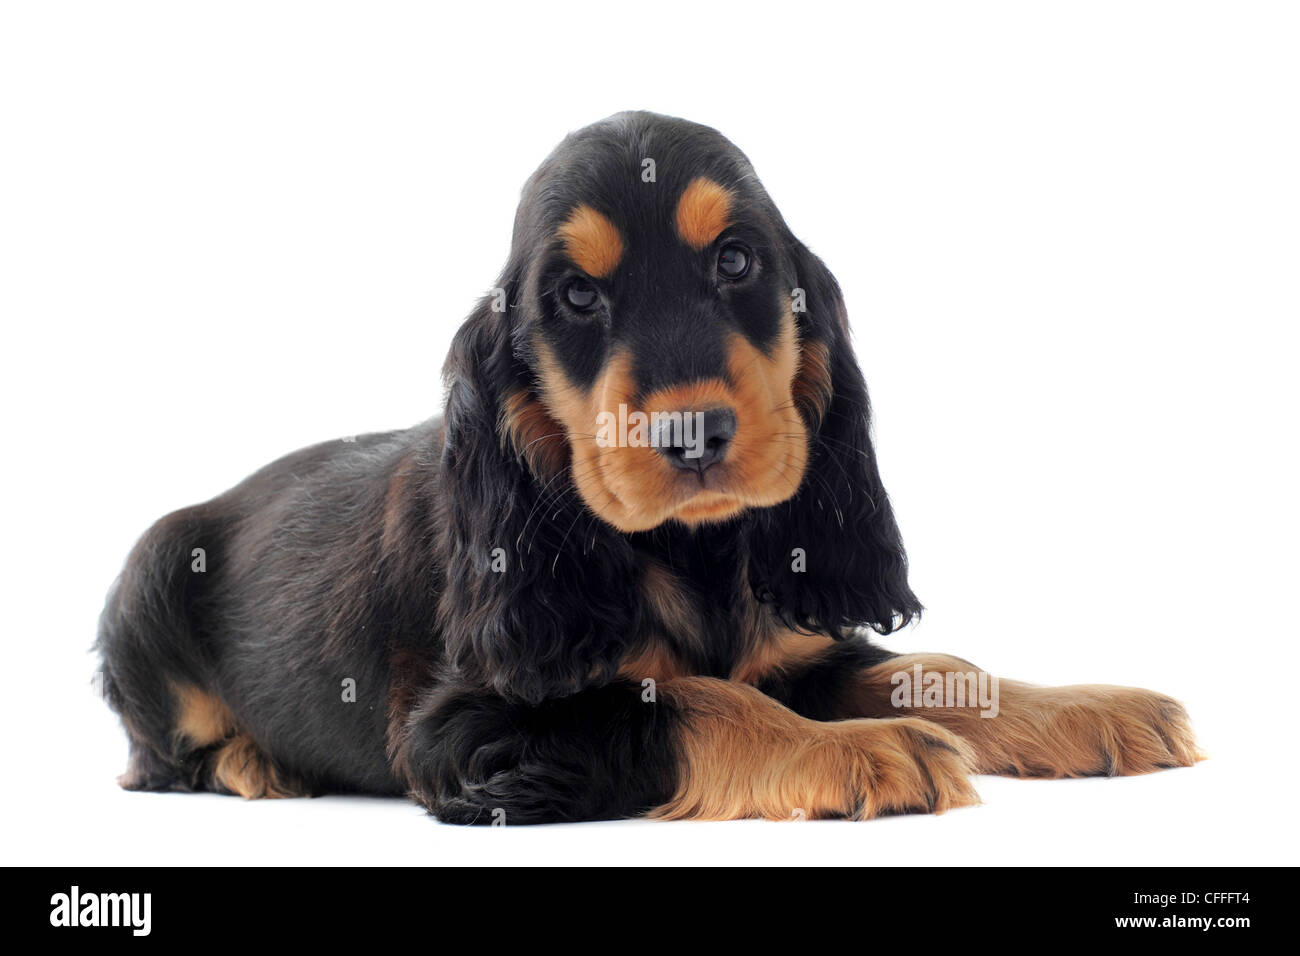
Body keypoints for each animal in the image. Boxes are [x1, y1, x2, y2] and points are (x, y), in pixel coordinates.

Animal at [96, 110, 1201, 822]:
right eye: (577, 297)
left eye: (737, 262)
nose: (691, 433)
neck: (686, 551)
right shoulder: (461, 728)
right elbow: (683, 698)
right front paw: (851, 747)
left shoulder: (792, 643)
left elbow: (928, 668)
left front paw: (1090, 708)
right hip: (150, 570)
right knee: (158, 757)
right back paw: (255, 762)